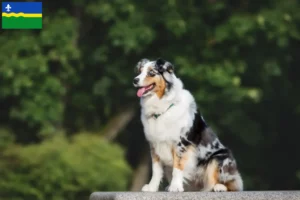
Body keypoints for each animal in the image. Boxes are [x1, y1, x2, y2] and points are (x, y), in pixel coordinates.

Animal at [133, 57, 244, 192]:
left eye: (151, 73)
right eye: (140, 71)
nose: (135, 80)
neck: (163, 107)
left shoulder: (181, 143)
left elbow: (178, 167)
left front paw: (175, 187)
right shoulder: (154, 144)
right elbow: (156, 170)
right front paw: (152, 187)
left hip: (219, 158)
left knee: (229, 183)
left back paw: (219, 187)